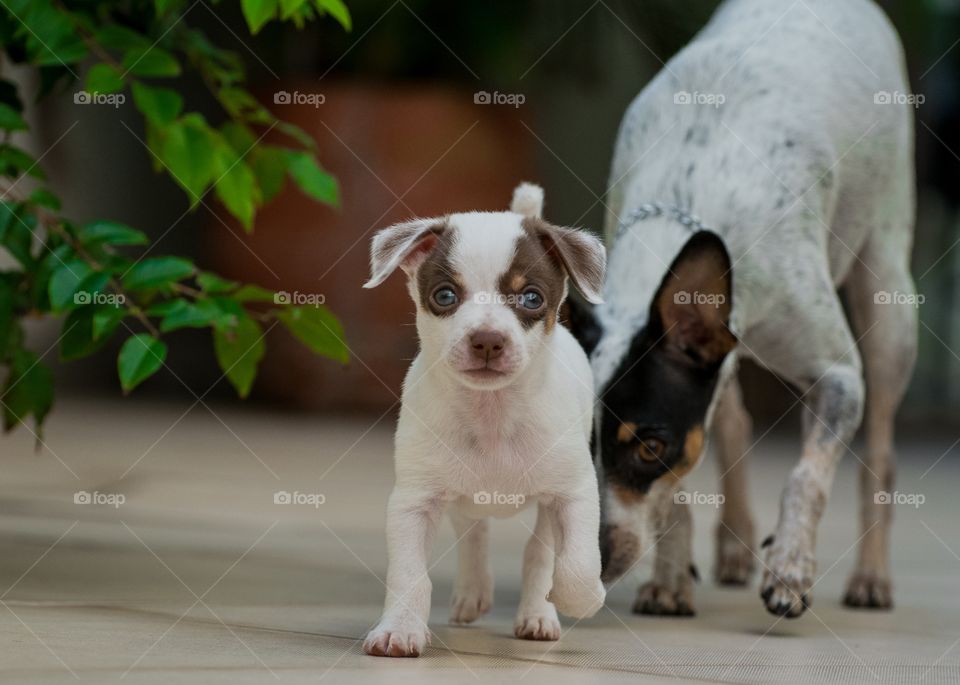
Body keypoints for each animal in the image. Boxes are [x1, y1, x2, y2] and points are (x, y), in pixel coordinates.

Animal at [360, 183, 608, 656]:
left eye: (531, 298)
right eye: (444, 296)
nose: (488, 340)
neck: (493, 415)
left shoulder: (573, 494)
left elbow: (577, 565)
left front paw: (578, 600)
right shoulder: (413, 503)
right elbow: (409, 575)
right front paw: (399, 628)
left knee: (538, 551)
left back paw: (537, 613)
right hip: (460, 495)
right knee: (473, 533)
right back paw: (473, 593)